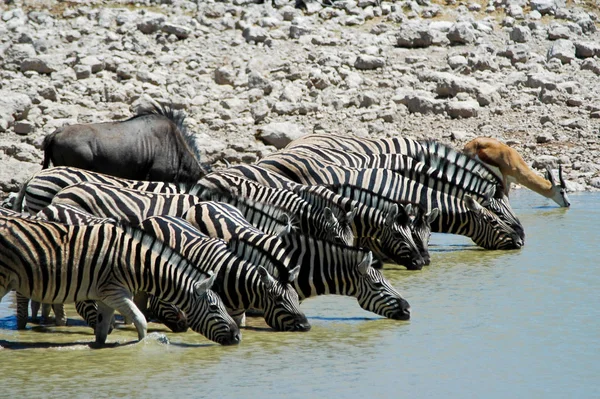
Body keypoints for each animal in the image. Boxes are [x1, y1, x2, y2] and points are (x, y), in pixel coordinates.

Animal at [0, 216, 239, 346]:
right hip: (3, 279)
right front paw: (142, 346)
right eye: (214, 308)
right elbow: (141, 321)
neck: (138, 263)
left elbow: (102, 330)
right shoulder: (116, 292)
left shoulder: (105, 297)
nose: (237, 336)